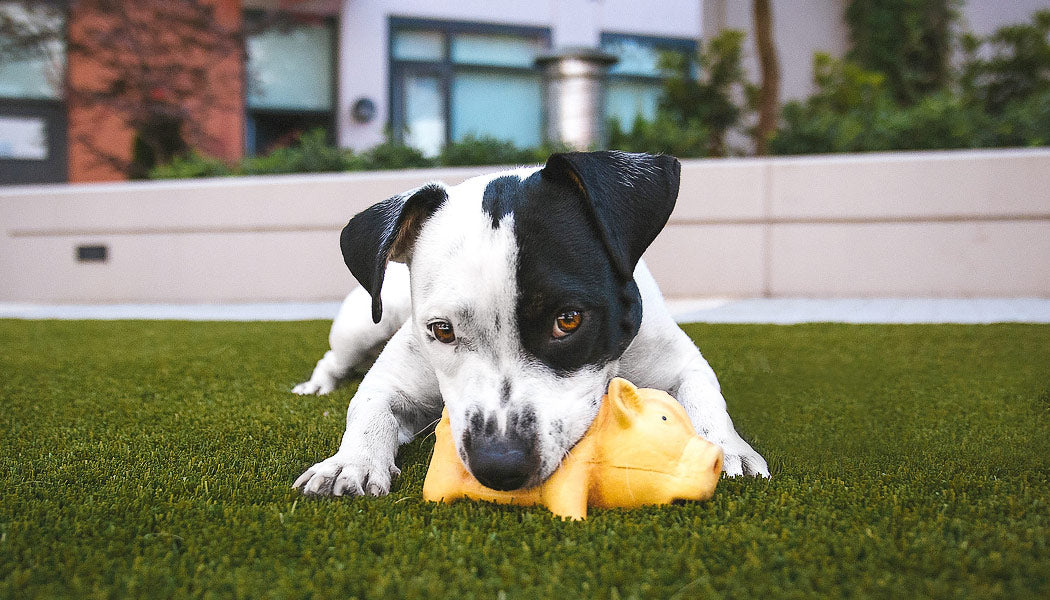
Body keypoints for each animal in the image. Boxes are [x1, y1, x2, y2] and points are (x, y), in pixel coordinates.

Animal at [291, 151, 768, 498]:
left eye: (568, 320)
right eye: (442, 330)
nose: (499, 465)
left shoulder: (678, 361)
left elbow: (705, 396)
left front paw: (727, 448)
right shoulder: (394, 379)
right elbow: (369, 407)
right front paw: (349, 462)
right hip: (362, 325)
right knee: (334, 357)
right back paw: (317, 385)